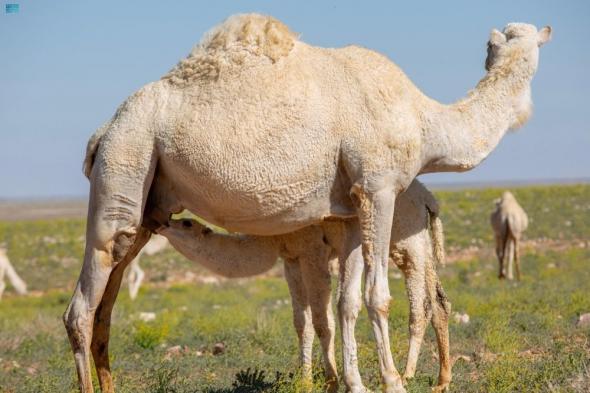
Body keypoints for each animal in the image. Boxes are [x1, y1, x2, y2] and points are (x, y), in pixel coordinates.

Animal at [160, 179, 450, 390]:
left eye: (187, 223)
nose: (162, 222)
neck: (269, 238)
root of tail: (429, 199)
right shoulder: (291, 259)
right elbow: (302, 323)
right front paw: (306, 380)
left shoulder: (313, 251)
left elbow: (323, 322)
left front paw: (332, 380)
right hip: (418, 239)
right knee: (439, 300)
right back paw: (441, 380)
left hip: (407, 241)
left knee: (420, 304)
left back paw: (408, 375)